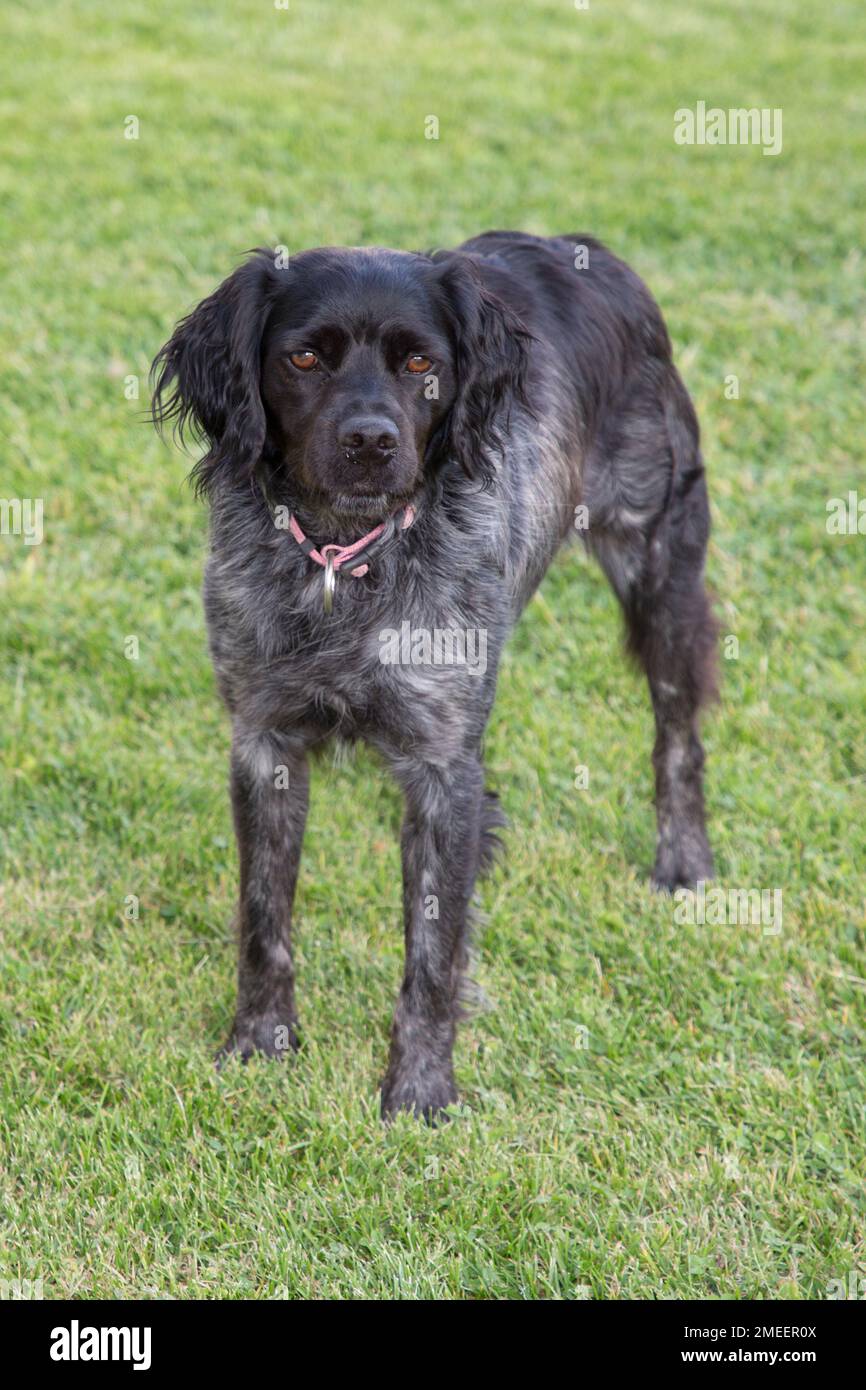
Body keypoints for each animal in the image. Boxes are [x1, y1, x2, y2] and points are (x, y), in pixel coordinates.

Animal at [150, 227, 717, 1117]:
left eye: (421, 364)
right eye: (304, 358)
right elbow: (264, 916)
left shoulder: (444, 762)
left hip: (662, 572)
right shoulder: (264, 741)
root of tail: (584, 247)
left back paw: (684, 863)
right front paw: (261, 1042)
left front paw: (418, 1090)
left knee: (677, 731)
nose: (371, 441)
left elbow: (431, 949)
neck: (344, 561)